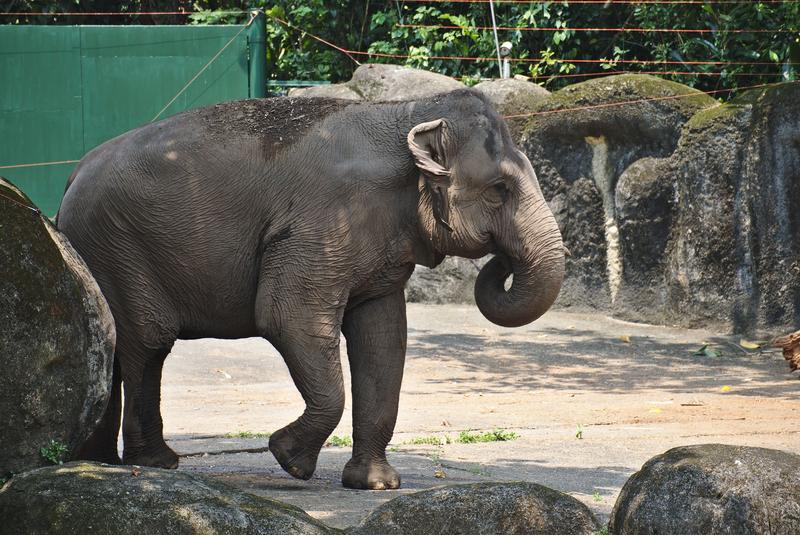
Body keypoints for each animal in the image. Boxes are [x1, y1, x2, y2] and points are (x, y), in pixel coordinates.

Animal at [57, 89, 564, 490]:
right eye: (499, 189)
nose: (502, 261)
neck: (403, 110)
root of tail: (74, 175)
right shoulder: (320, 224)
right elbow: (288, 317)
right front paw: (289, 460)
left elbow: (382, 339)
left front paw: (375, 485)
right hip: (117, 244)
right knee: (148, 340)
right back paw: (155, 464)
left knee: (113, 344)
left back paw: (95, 461)